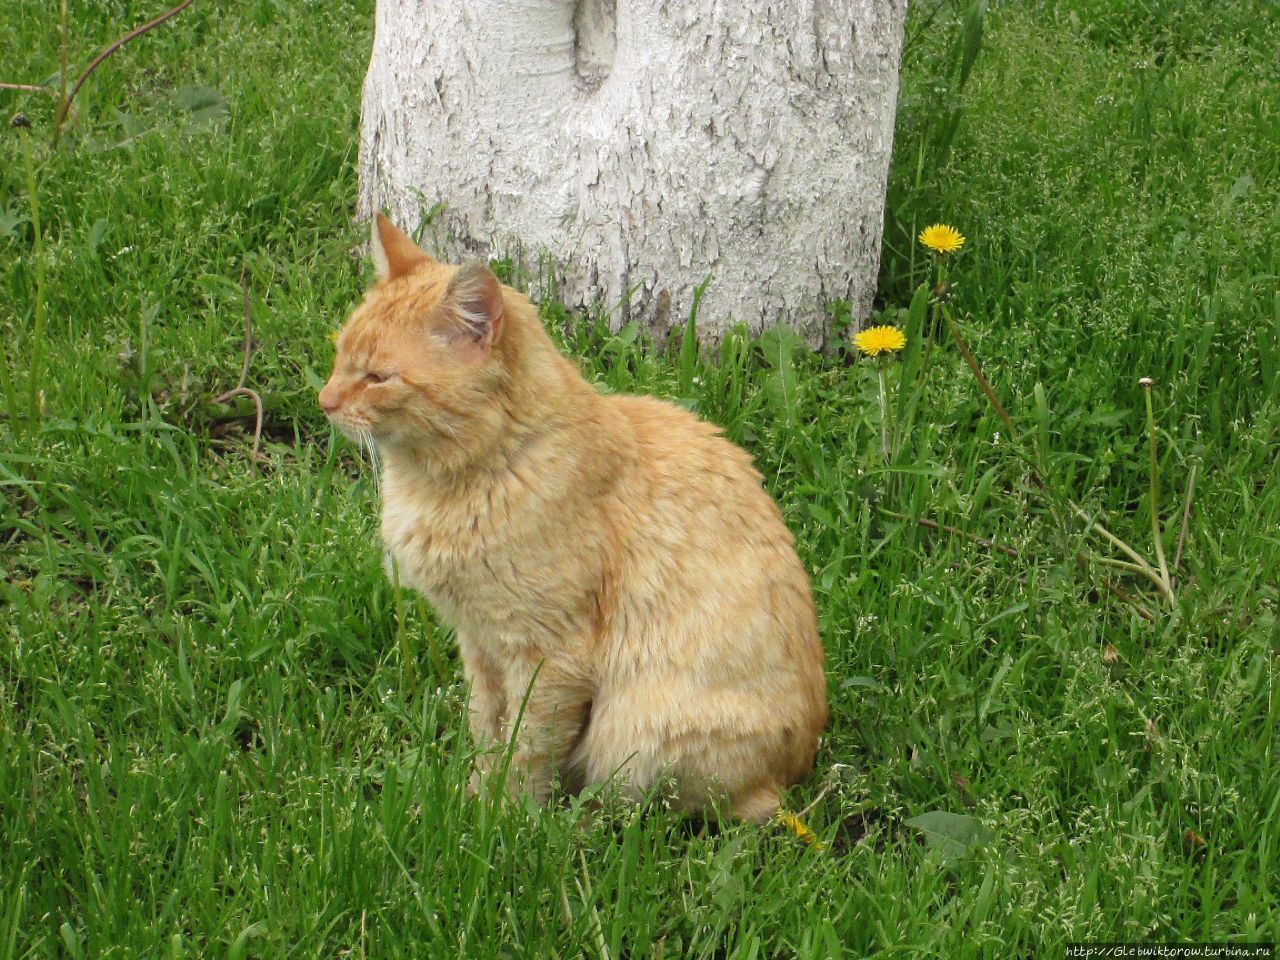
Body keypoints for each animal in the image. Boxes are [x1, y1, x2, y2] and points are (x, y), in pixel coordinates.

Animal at [314, 217, 824, 829]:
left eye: (378, 377)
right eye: (340, 355)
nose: (323, 401)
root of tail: (792, 776)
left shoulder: (547, 657)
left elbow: (528, 747)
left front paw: (505, 822)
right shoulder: (479, 644)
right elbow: (487, 731)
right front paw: (470, 799)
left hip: (638, 734)